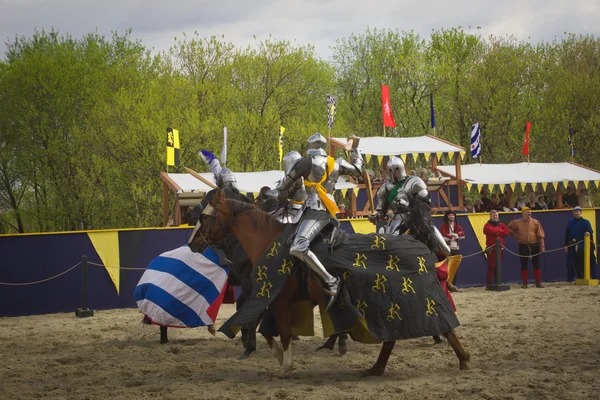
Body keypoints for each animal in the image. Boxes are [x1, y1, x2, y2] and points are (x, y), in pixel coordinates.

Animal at [191, 191, 468, 378]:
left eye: (204, 217)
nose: (193, 243)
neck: (267, 240)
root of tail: (420, 246)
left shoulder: (275, 299)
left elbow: (281, 332)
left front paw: (285, 366)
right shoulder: (274, 299)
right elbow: (268, 332)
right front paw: (277, 357)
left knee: (436, 326)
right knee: (410, 333)